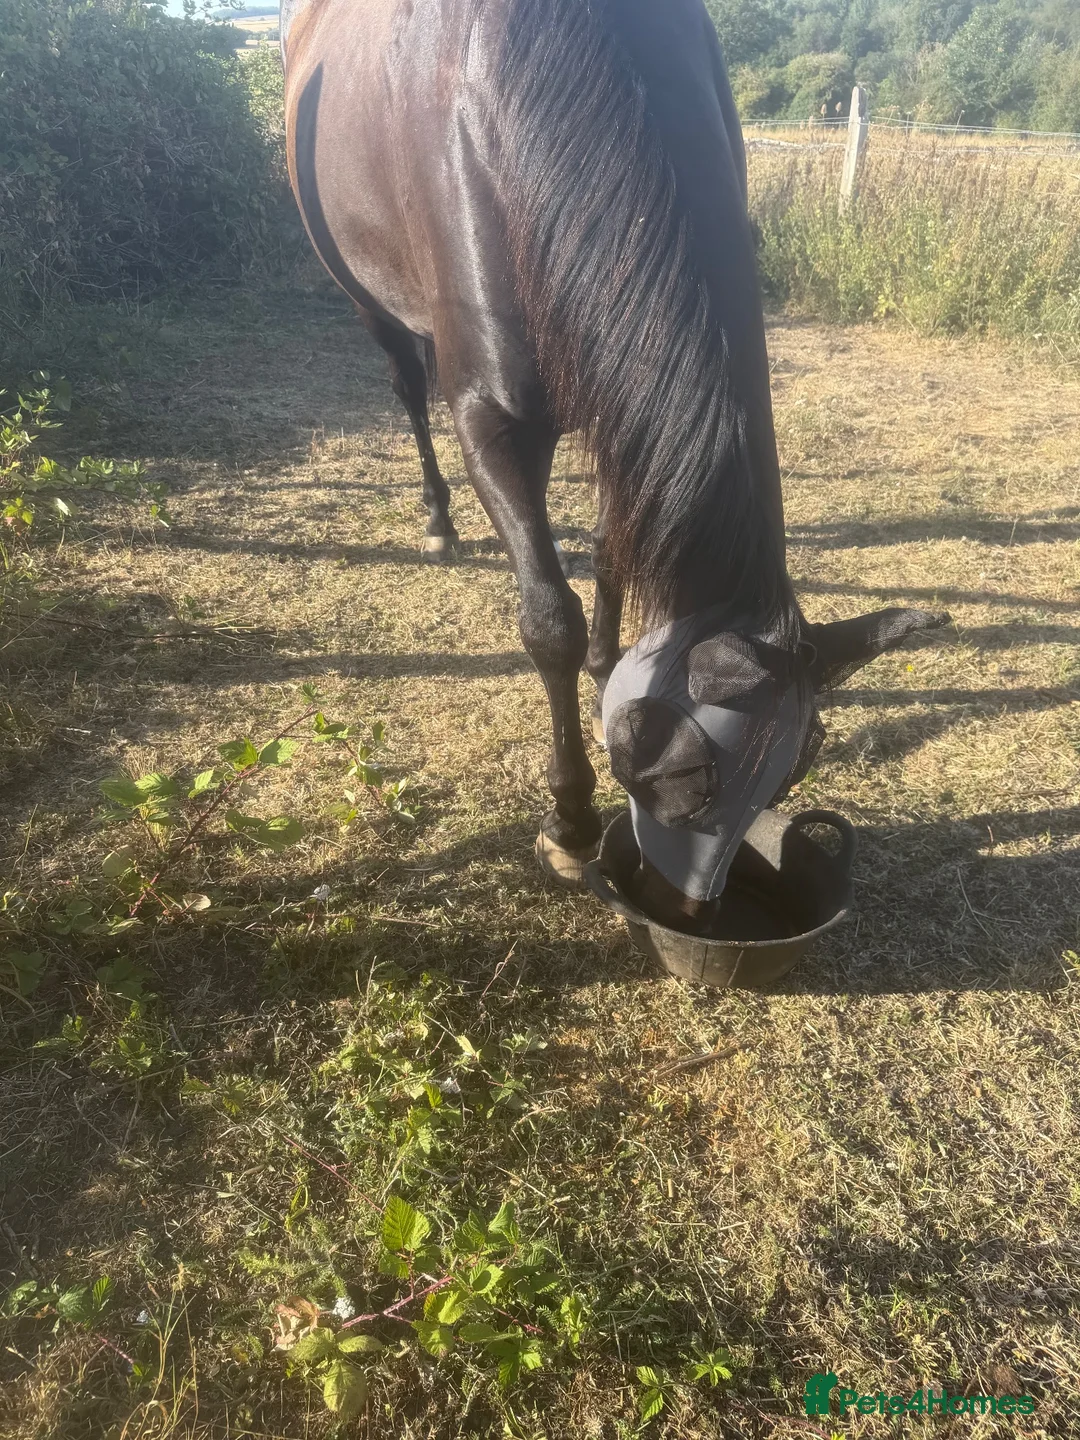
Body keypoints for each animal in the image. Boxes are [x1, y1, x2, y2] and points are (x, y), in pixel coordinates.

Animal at [281, 0, 945, 914]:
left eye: (790, 774)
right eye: (674, 782)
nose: (688, 912)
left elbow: (613, 546)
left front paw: (607, 667)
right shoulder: (491, 424)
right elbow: (548, 622)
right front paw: (568, 822)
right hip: (365, 297)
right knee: (406, 384)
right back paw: (436, 518)